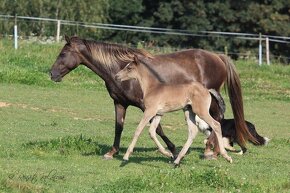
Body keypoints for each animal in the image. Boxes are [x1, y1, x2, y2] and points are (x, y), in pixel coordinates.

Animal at [51, 35, 255, 160]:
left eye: (63, 53)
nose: (51, 74)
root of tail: (218, 56)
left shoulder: (147, 106)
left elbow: (157, 129)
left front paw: (172, 151)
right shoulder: (120, 103)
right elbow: (119, 127)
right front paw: (112, 152)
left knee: (217, 119)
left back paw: (210, 150)